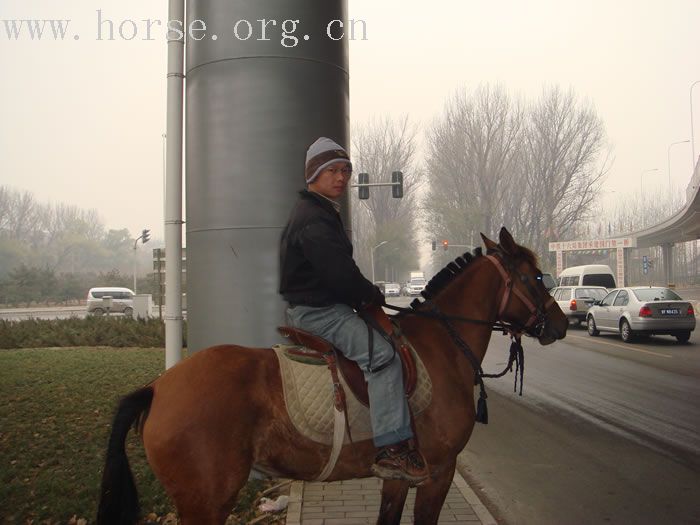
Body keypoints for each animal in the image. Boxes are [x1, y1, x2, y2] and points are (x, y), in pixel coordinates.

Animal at [97, 226, 568, 524]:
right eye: (535, 276)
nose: (561, 324)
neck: (440, 344)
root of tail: (158, 389)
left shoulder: (398, 480)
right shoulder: (439, 473)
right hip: (205, 503)